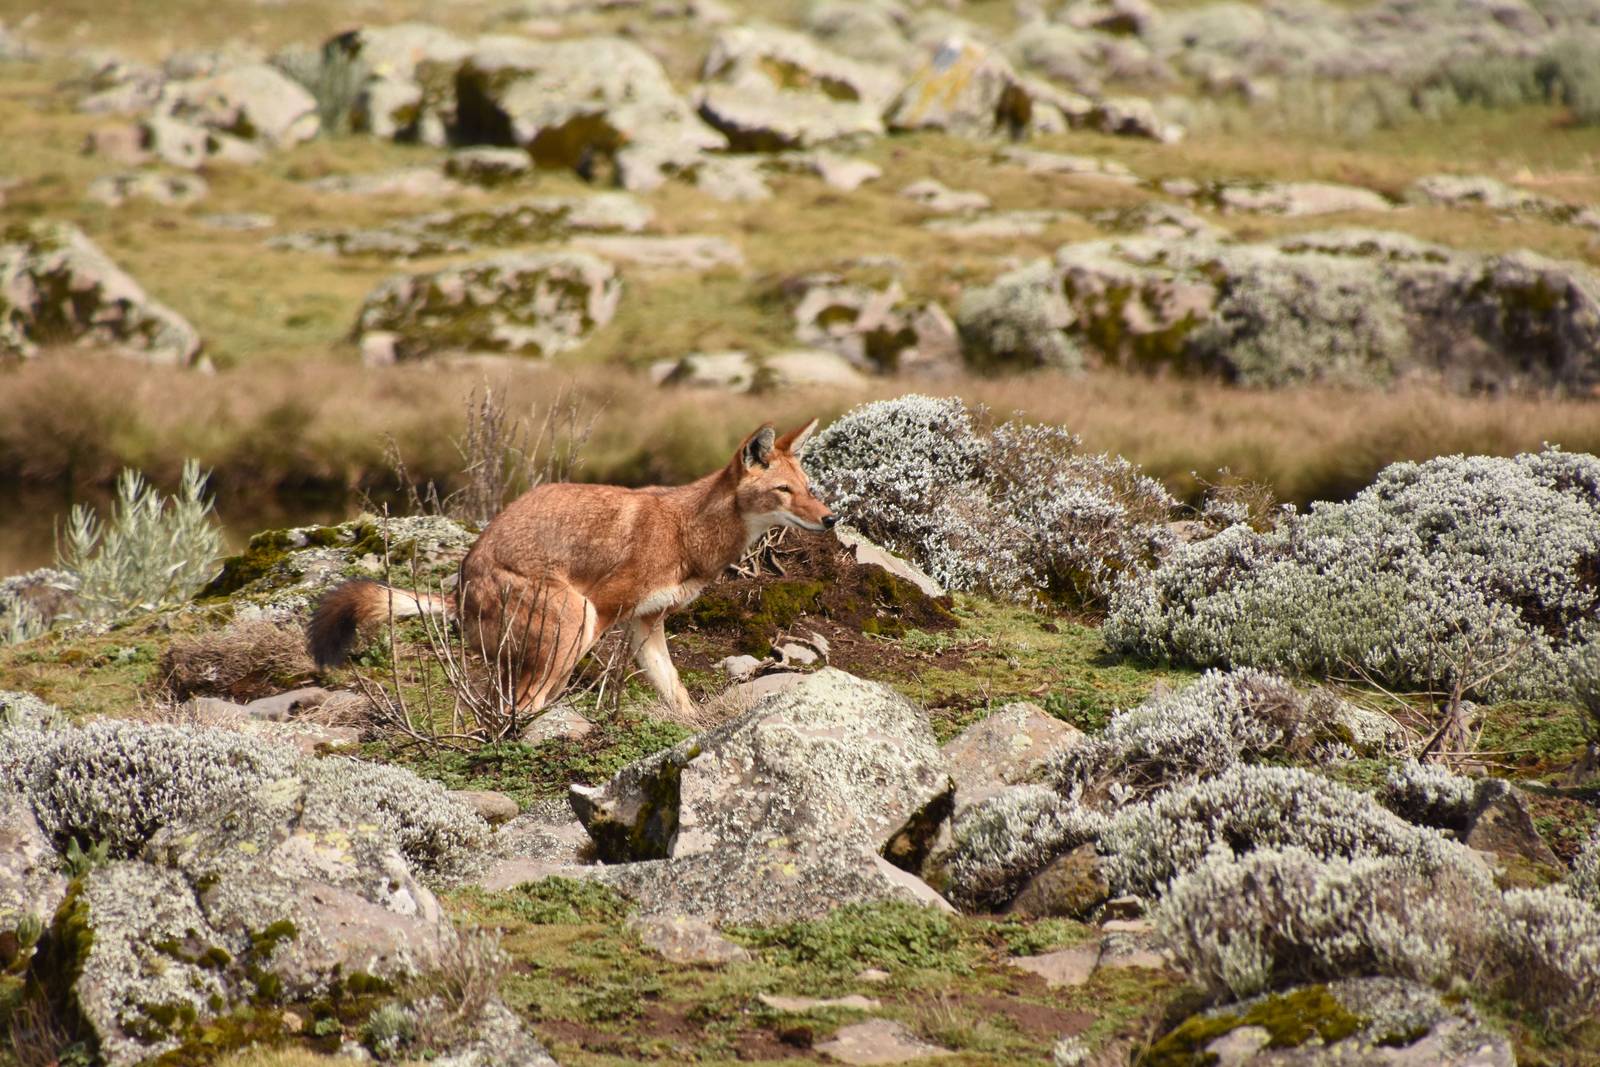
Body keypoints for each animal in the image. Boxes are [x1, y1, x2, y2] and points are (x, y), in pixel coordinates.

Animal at [308, 420, 834, 718]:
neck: (686, 530)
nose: (831, 518)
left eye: (809, 488)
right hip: (574, 624)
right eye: (784, 491)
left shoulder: (646, 626)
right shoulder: (607, 610)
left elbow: (679, 695)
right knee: (517, 710)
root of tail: (460, 588)